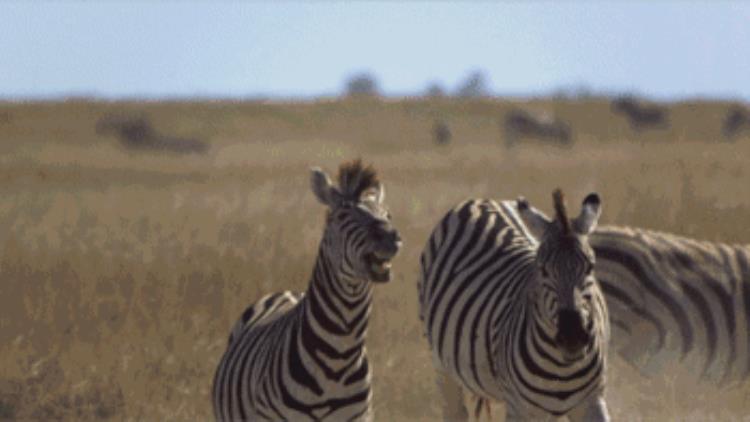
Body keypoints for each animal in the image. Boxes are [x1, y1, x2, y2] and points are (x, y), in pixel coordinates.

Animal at [420, 191, 612, 422]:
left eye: (591, 267)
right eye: (542, 270)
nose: (572, 336)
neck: (561, 367)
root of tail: (481, 200)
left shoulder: (592, 400)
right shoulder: (520, 408)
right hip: (442, 366)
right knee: (455, 411)